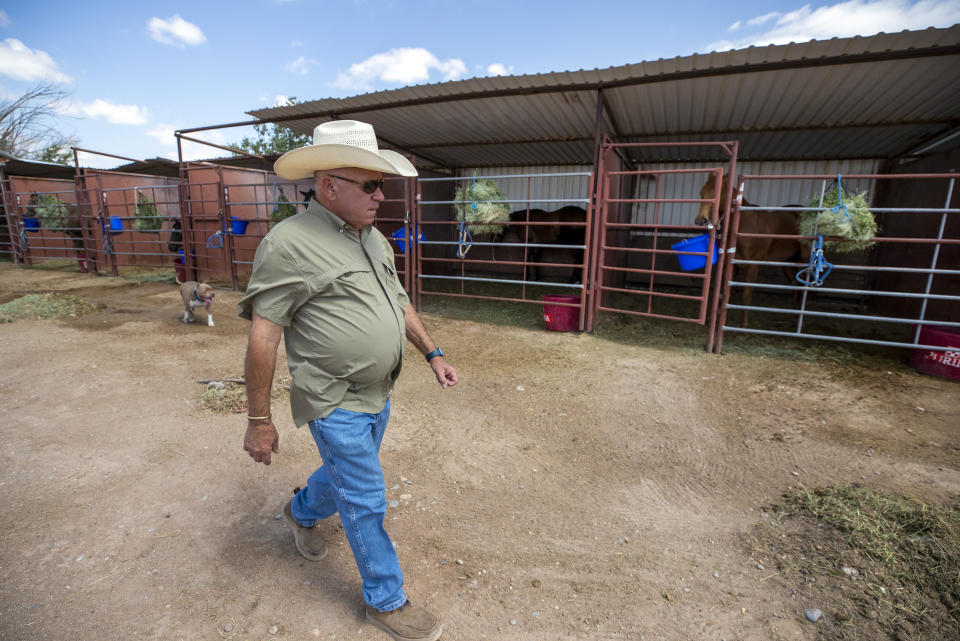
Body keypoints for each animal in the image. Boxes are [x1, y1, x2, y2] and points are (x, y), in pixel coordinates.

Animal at [696, 174, 804, 328]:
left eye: (719, 192)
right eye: (702, 193)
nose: (701, 220)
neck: (743, 225)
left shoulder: (753, 265)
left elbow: (746, 295)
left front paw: (745, 325)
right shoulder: (731, 266)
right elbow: (726, 294)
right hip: (789, 263)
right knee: (796, 286)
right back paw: (795, 317)